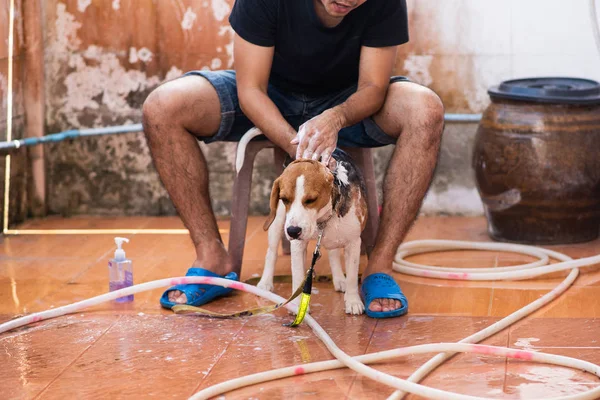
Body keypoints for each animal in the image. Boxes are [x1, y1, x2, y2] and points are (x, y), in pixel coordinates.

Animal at [236, 130, 370, 314]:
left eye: (311, 200)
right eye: (284, 198)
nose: (293, 231)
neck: (323, 219)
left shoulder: (354, 242)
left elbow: (351, 276)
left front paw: (352, 301)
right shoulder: (298, 245)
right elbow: (298, 274)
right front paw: (299, 306)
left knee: (334, 254)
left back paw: (339, 279)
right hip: (277, 222)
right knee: (271, 253)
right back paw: (265, 282)